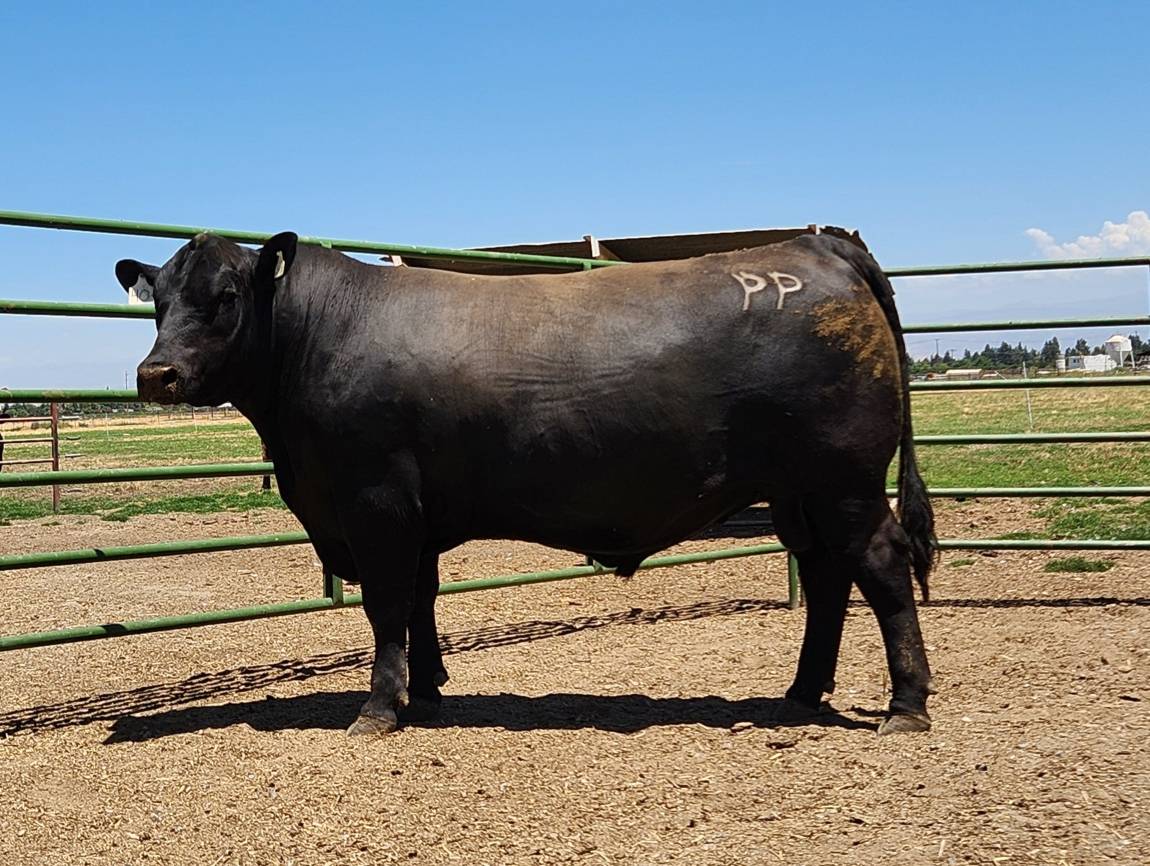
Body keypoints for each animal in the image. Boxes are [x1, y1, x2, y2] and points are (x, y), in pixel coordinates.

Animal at [116, 230, 936, 736]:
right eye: (158, 301)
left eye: (227, 295)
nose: (157, 374)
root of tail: (814, 245)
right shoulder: (416, 510)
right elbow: (422, 597)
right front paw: (430, 689)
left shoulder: (374, 502)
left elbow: (386, 604)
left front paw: (380, 707)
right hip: (798, 491)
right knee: (826, 575)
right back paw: (800, 693)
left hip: (843, 481)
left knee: (879, 566)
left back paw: (905, 704)